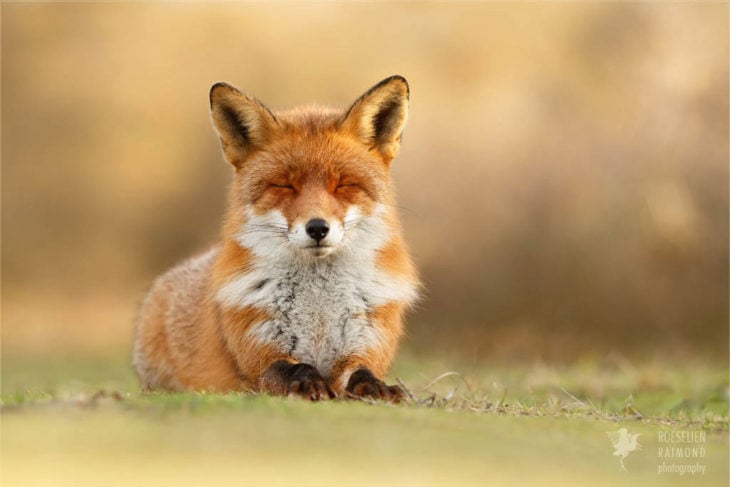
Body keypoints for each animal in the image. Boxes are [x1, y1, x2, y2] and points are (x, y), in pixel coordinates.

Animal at [132, 76, 418, 402]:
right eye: (284, 185)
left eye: (343, 184)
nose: (317, 228)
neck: (319, 310)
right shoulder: (259, 349)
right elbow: (291, 369)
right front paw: (308, 384)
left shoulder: (365, 342)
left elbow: (362, 373)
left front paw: (377, 388)